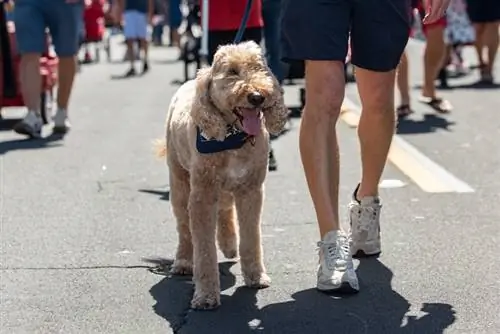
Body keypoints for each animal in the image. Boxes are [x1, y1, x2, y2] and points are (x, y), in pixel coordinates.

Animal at [156, 40, 290, 310]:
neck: (233, 138)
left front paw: (256, 276)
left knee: (225, 210)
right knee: (184, 228)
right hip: (180, 182)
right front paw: (206, 295)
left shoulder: (251, 190)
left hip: (227, 186)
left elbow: (251, 237)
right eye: (232, 72)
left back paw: (229, 244)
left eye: (259, 68)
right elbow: (204, 249)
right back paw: (183, 261)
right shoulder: (202, 194)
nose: (257, 96)